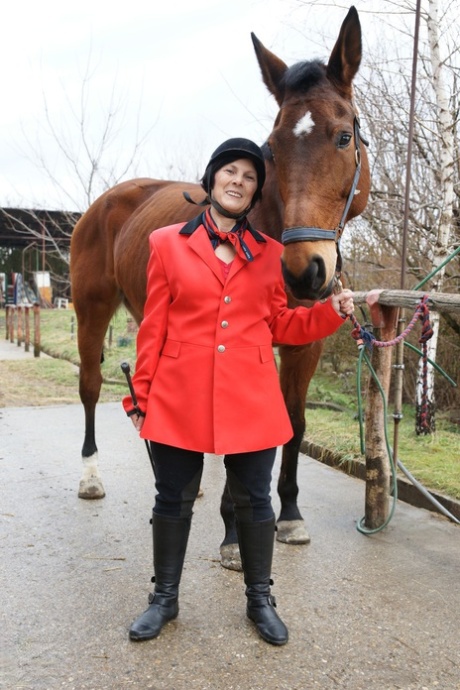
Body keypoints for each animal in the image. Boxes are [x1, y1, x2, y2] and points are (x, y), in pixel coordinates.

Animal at [69, 5, 370, 568]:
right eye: (273, 148)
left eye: (344, 137)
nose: (305, 272)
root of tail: (108, 200)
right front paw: (234, 536)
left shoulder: (304, 345)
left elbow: (292, 422)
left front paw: (289, 515)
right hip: (91, 309)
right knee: (91, 386)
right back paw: (90, 476)